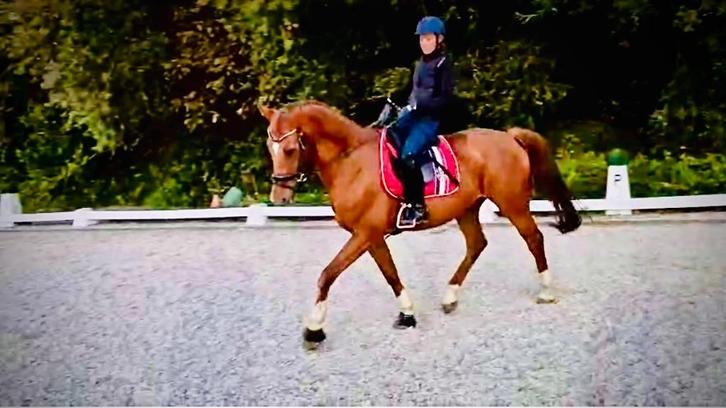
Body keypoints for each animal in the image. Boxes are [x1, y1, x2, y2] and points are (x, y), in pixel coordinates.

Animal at [256, 100, 581, 349]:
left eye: (289, 150)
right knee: (477, 244)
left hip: (512, 203)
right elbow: (390, 274)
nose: (279, 197)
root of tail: (509, 136)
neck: (350, 161)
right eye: (269, 147)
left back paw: (546, 291)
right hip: (467, 209)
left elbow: (328, 274)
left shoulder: (365, 234)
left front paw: (314, 329)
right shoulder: (371, 236)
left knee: (534, 238)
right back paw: (450, 297)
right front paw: (407, 314)